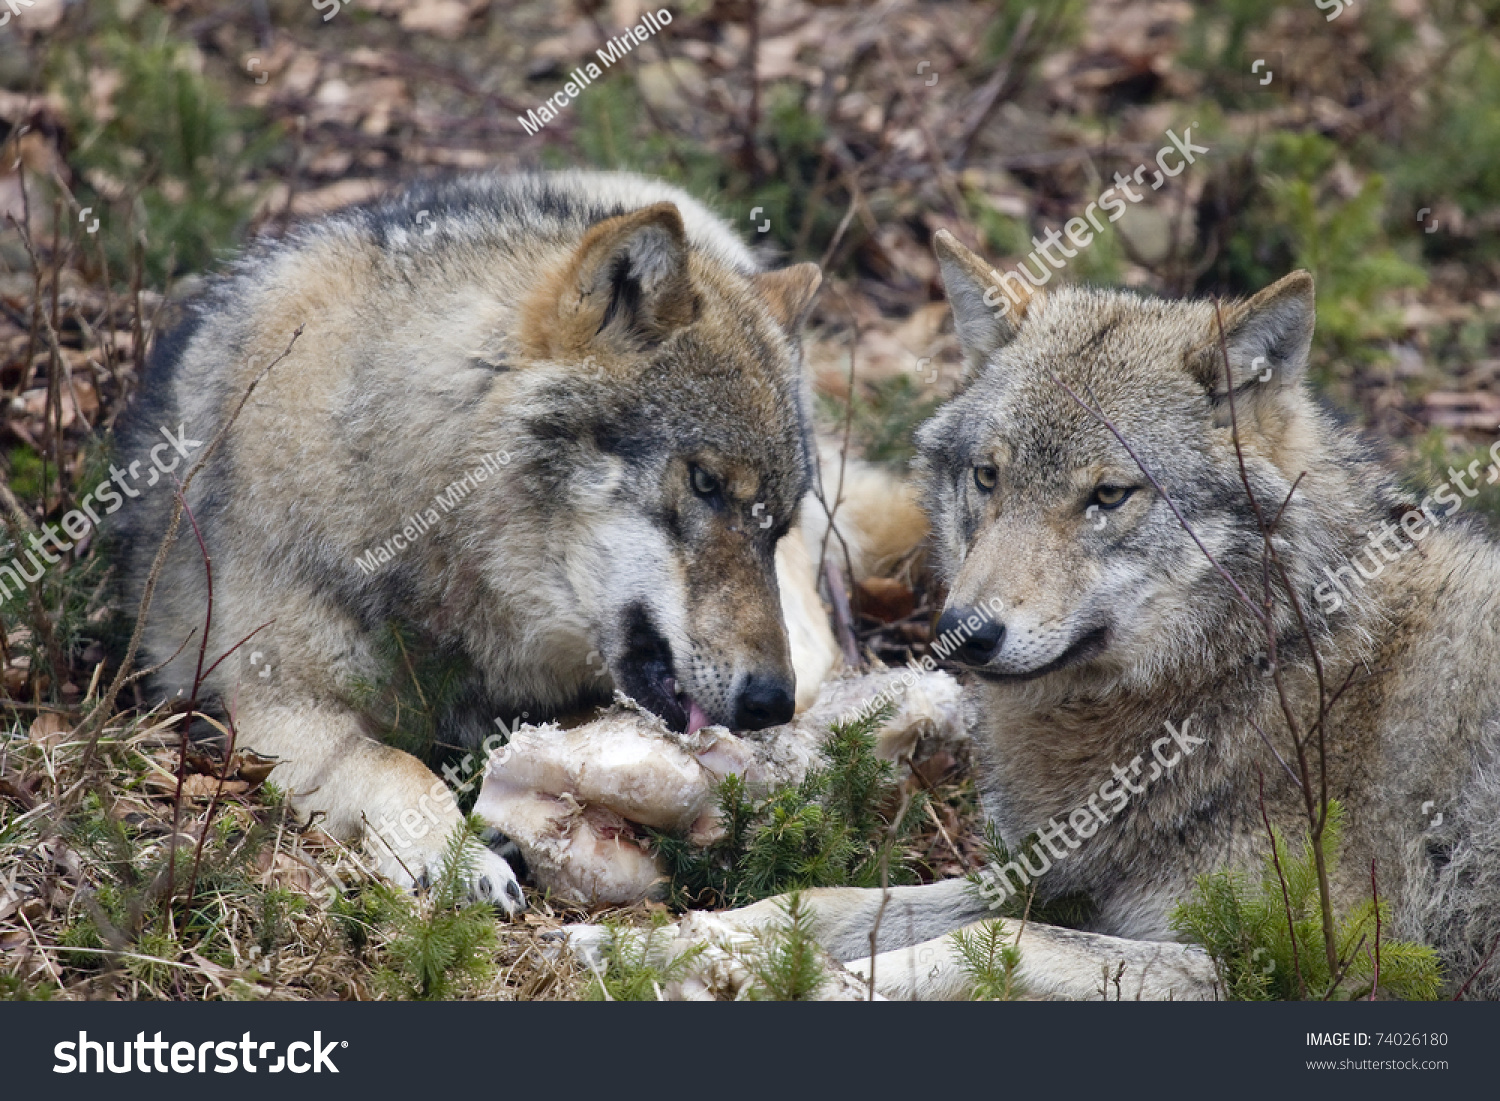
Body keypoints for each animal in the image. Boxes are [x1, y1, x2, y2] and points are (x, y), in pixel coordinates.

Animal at [112, 170, 828, 912]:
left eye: (776, 526)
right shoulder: (272, 709)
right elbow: (393, 762)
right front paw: (454, 856)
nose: (770, 703)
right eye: (705, 482)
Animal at [675, 231, 1500, 1002]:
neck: (1264, 664)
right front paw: (693, 939)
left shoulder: (1282, 965)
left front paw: (818, 982)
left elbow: (997, 941)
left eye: (1107, 495)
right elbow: (838, 900)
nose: (965, 633)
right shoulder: (1056, 875)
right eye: (988, 476)